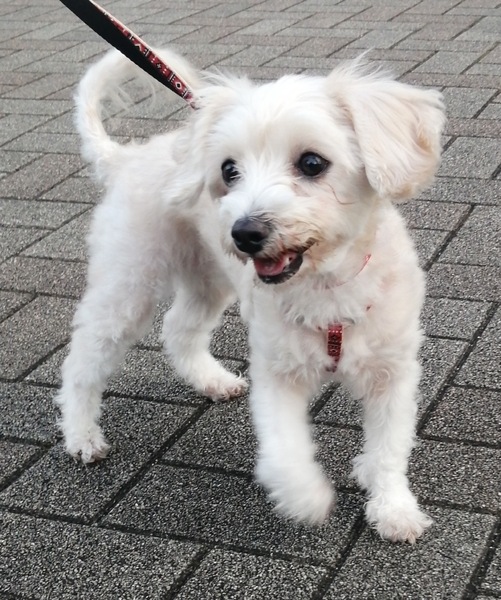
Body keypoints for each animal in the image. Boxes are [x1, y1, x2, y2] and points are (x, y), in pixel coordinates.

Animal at [56, 48, 445, 543]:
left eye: (312, 163)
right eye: (229, 170)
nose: (244, 233)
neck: (325, 286)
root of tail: (126, 157)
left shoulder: (393, 373)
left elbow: (391, 447)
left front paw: (393, 506)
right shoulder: (277, 371)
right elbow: (285, 452)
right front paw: (307, 500)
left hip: (207, 279)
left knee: (178, 329)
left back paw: (212, 380)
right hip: (128, 282)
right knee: (82, 361)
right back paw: (81, 435)